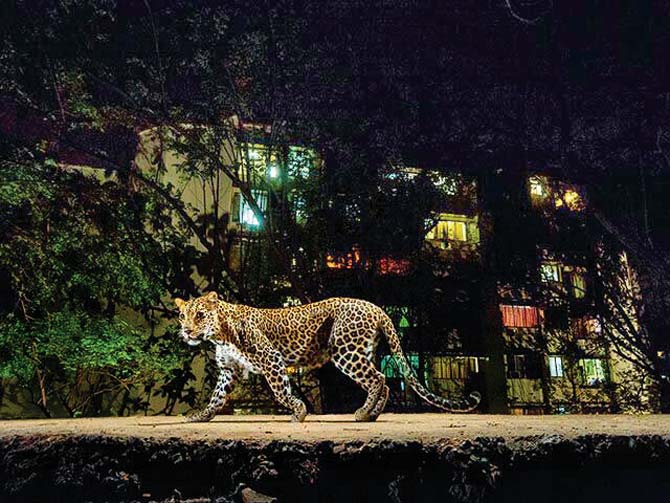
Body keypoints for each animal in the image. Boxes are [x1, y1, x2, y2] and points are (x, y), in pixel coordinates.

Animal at [176, 292, 480, 426]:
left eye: (200, 315)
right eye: (182, 315)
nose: (187, 330)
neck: (219, 334)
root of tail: (377, 308)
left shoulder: (271, 359)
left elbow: (281, 392)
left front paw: (299, 412)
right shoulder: (229, 370)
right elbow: (217, 397)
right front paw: (201, 416)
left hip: (345, 351)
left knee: (378, 378)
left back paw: (363, 413)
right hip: (361, 351)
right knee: (384, 381)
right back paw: (372, 414)